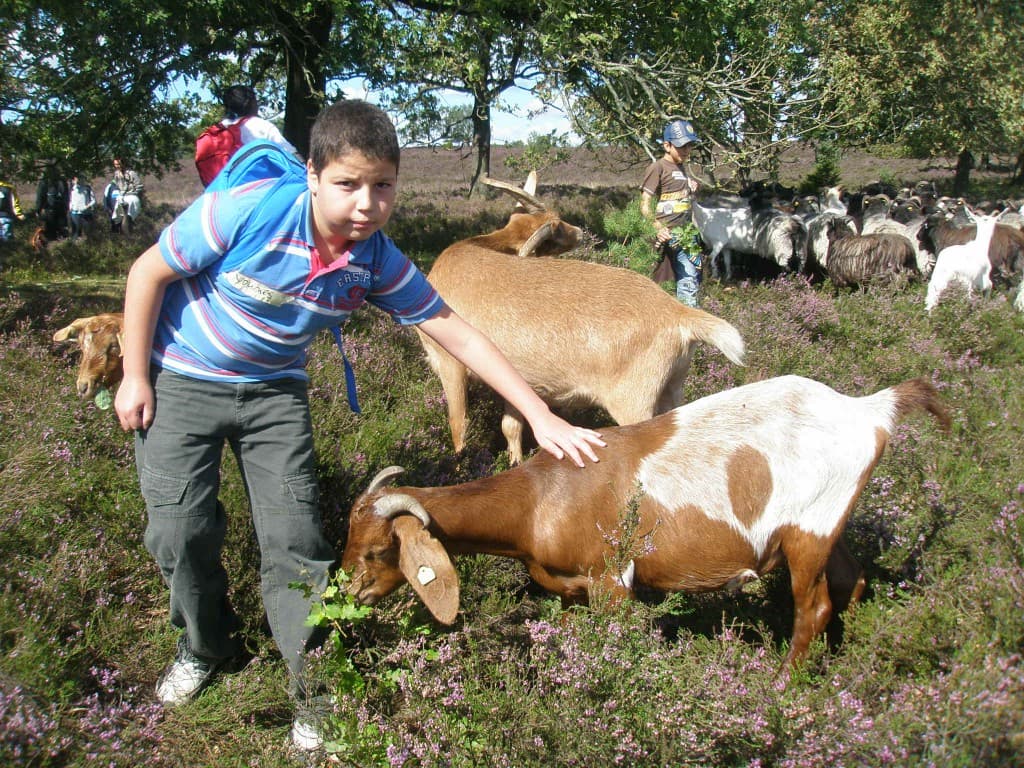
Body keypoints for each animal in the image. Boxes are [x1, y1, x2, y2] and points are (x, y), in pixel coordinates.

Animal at [344, 376, 950, 671]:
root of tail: (870, 411)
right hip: (831, 523)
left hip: (809, 531)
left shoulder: (613, 580)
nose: (351, 592)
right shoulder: (571, 587)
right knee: (853, 581)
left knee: (815, 606)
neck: (539, 499)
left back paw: (784, 683)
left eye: (378, 551)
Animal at [419, 176, 749, 462]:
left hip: (634, 400)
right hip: (672, 387)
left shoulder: (449, 362)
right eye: (556, 228)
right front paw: (514, 464)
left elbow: (458, 426)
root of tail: (679, 313)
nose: (579, 231)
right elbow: (510, 427)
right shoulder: (514, 376)